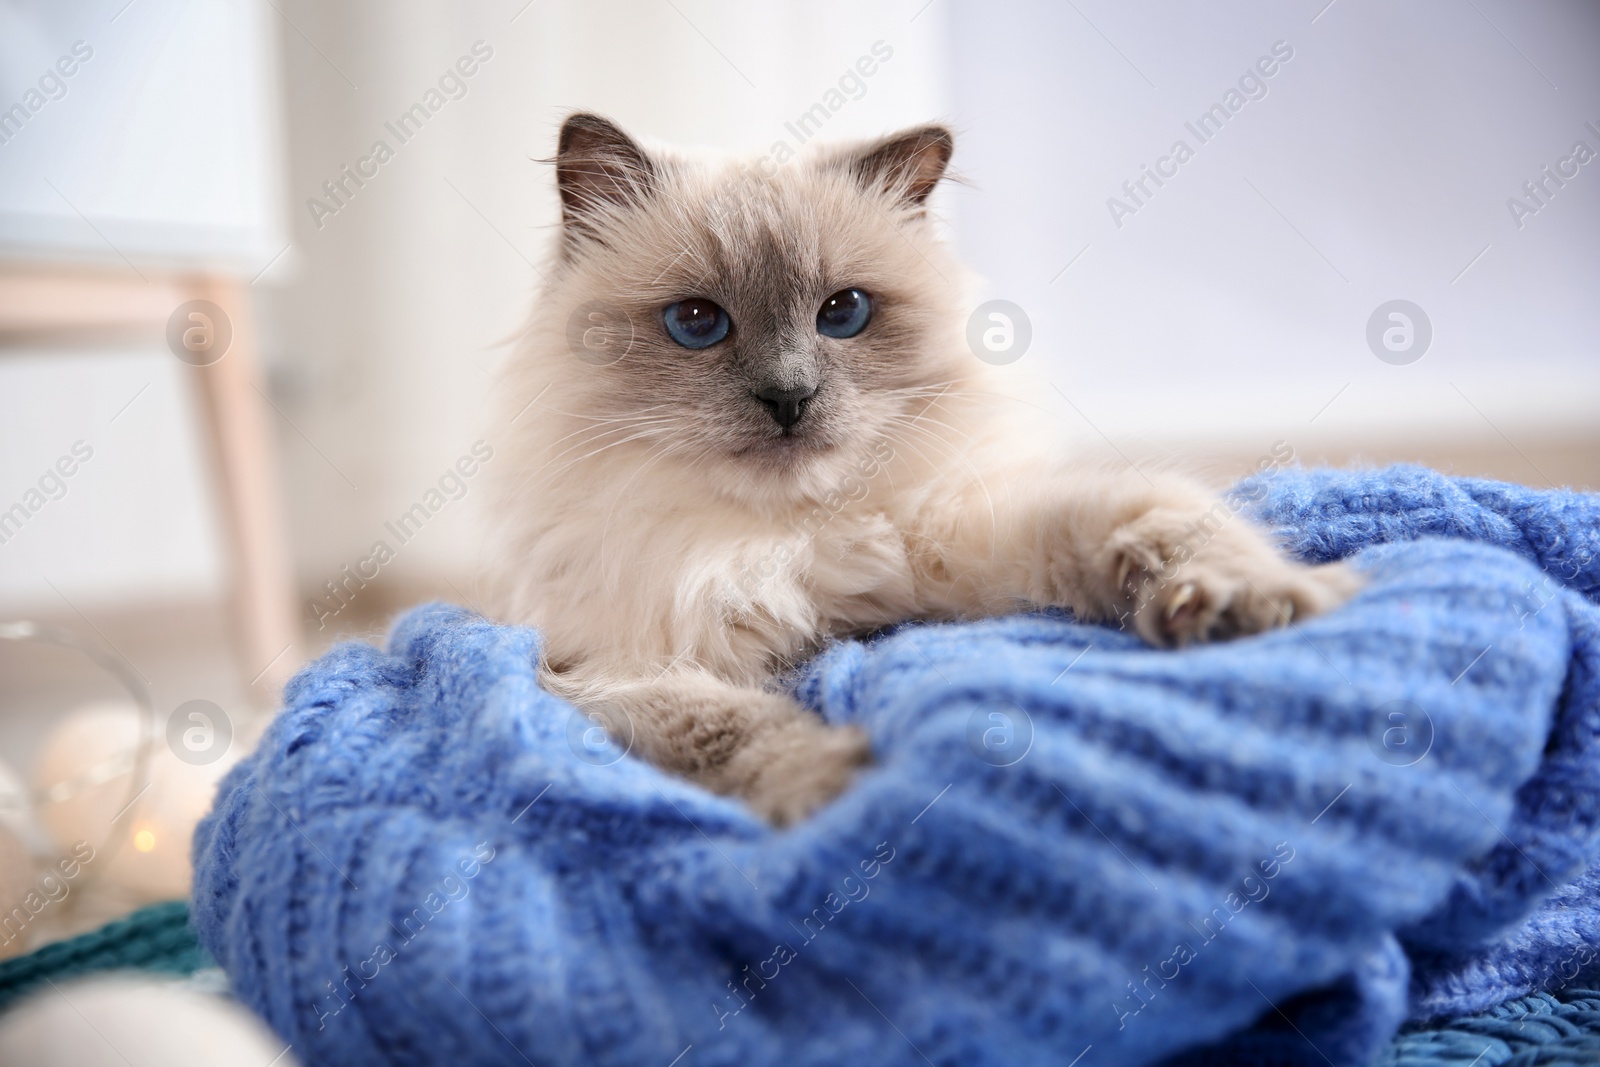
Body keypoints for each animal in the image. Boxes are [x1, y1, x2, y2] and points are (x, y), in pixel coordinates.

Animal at [492, 110, 1356, 825]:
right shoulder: (610, 671)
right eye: (698, 323)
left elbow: (1156, 523)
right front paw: (840, 784)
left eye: (843, 313)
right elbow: (729, 728)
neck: (789, 539)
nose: (789, 397)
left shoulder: (972, 537)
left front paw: (1246, 606)